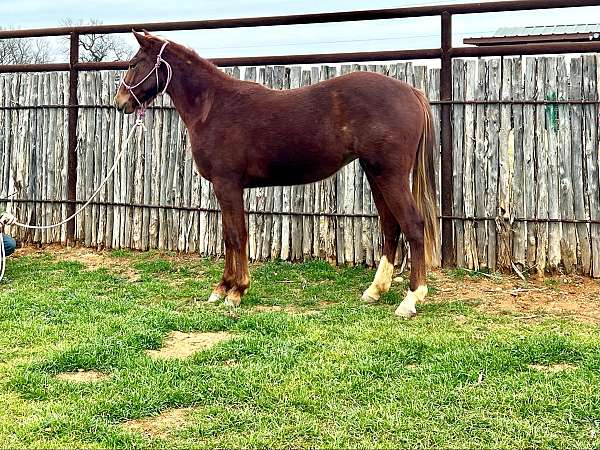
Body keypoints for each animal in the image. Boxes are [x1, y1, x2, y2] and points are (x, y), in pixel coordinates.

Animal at [115, 31, 438, 318]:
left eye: (133, 63)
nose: (120, 103)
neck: (212, 106)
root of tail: (412, 92)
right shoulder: (225, 188)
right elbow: (227, 236)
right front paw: (221, 289)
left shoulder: (227, 184)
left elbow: (237, 235)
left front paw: (236, 291)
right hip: (375, 173)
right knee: (390, 227)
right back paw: (375, 290)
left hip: (391, 175)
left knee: (413, 225)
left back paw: (411, 299)